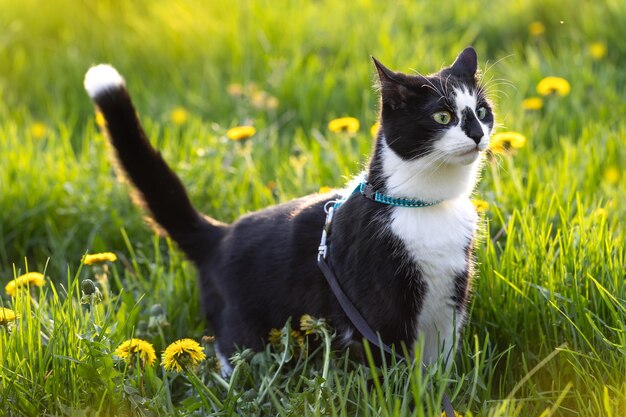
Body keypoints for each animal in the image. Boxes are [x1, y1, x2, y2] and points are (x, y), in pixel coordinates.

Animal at [83, 47, 492, 372]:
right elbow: (390, 373)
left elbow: (440, 366)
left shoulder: (449, 300)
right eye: (442, 117)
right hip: (242, 329)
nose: (477, 133)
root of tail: (219, 235)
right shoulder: (375, 311)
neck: (426, 206)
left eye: (482, 111)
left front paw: (438, 391)